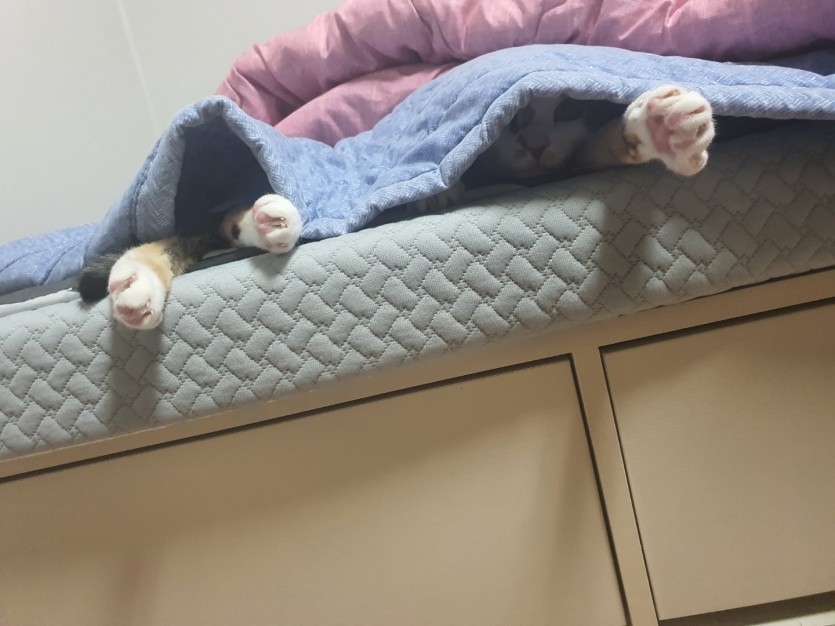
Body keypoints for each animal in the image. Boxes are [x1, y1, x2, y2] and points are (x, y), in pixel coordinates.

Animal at [79, 85, 714, 329]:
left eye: (567, 110)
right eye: (519, 122)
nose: (534, 143)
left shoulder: (571, 159)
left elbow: (603, 146)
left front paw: (660, 127)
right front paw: (439, 188)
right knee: (209, 226)